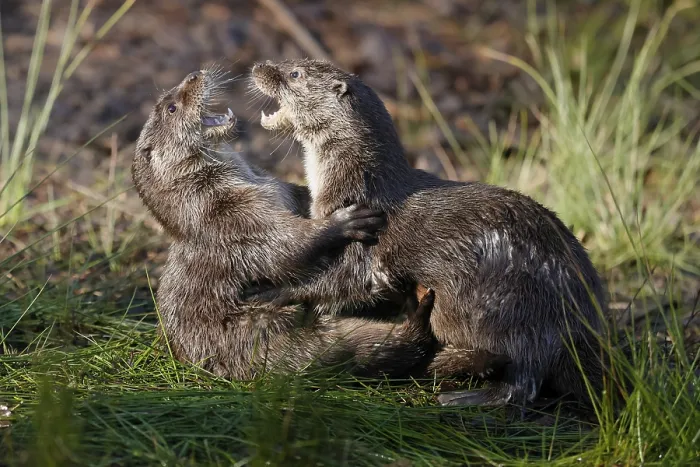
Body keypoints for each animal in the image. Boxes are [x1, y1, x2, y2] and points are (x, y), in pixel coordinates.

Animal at [132, 68, 510, 381]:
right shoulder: (232, 220)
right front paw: (344, 220)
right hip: (269, 340)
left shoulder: (270, 189)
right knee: (348, 351)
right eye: (172, 107)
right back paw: (414, 317)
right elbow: (286, 246)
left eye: (175, 94)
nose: (194, 74)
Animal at [250, 59, 608, 407]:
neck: (357, 185)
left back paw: (459, 395)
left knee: (523, 380)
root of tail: (582, 319)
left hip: (507, 306)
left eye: (295, 73)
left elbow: (339, 281)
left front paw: (270, 292)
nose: (259, 67)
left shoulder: (364, 240)